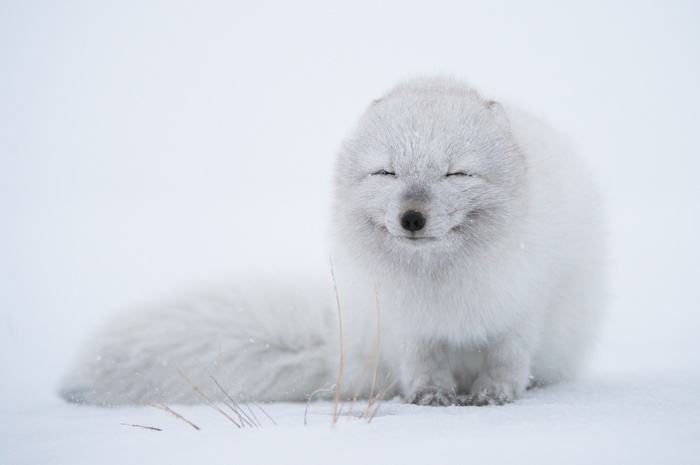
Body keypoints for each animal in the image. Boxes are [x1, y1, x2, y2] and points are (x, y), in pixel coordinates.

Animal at [61, 77, 605, 407]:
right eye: (386, 172)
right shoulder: (407, 323)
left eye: (457, 173)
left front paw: (494, 396)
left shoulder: (522, 305)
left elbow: (507, 359)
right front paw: (430, 397)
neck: (439, 284)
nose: (412, 217)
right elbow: (423, 364)